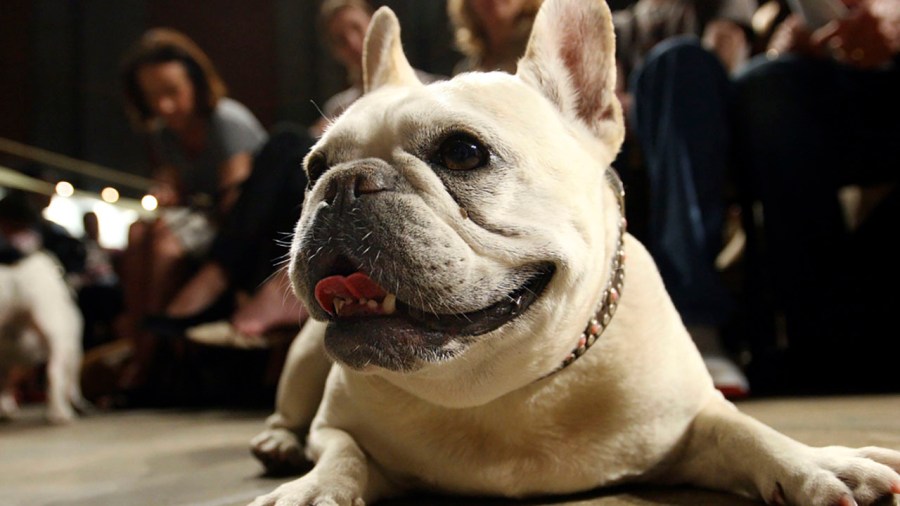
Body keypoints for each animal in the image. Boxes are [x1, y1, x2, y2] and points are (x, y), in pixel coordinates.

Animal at [248, 0, 900, 506]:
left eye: (463, 152)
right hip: (304, 359)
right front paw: (312, 486)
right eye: (313, 169)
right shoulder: (336, 425)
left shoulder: (693, 419)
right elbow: (341, 452)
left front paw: (819, 465)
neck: (502, 388)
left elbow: (748, 433)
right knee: (291, 412)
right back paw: (279, 441)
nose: (341, 185)